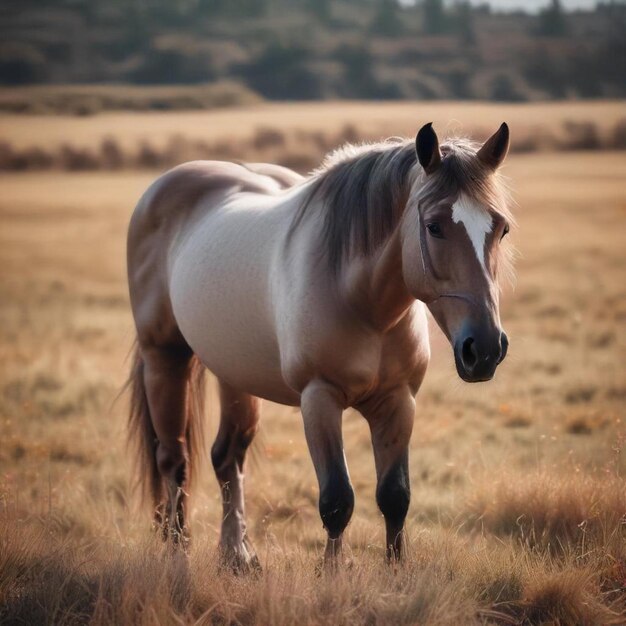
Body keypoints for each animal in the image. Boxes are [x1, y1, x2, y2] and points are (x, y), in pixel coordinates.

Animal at [125, 119, 512, 568]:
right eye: (434, 225)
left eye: (501, 228)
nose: (484, 349)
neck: (363, 301)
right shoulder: (319, 399)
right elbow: (337, 500)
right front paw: (332, 575)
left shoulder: (398, 401)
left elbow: (395, 497)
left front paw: (396, 575)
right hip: (163, 357)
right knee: (174, 460)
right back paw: (177, 553)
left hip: (233, 373)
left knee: (227, 457)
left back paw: (238, 555)